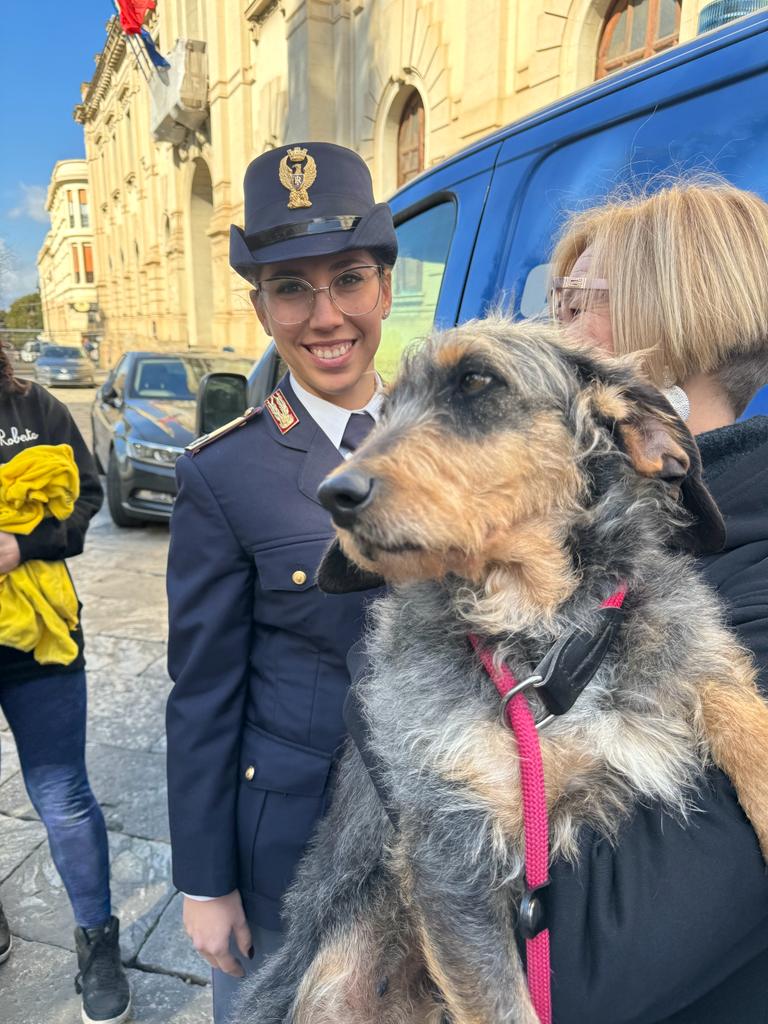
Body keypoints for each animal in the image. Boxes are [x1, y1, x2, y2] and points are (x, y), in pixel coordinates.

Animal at [239, 319, 768, 1024]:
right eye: (383, 412)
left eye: (476, 381)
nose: (335, 496)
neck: (542, 638)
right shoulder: (450, 849)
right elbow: (500, 1003)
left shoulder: (686, 648)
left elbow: (737, 709)